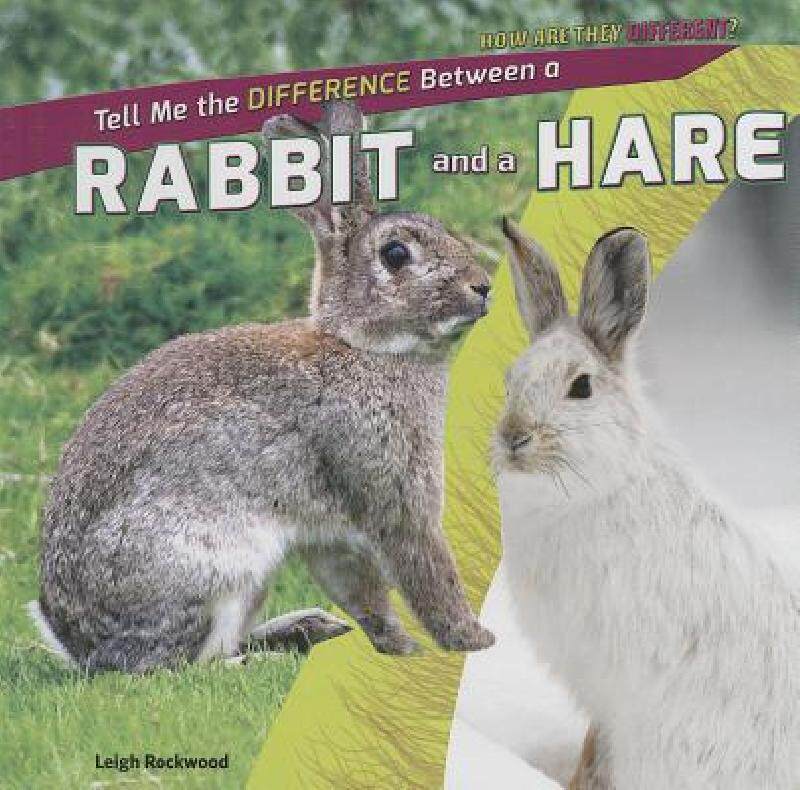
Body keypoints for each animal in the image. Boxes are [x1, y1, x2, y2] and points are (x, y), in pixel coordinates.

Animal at [29, 100, 494, 674]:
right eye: (396, 255)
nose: (483, 286)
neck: (360, 346)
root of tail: (74, 643)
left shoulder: (332, 534)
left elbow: (364, 595)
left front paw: (401, 648)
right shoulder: (391, 489)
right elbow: (425, 573)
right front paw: (476, 640)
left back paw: (309, 628)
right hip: (214, 567)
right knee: (177, 666)